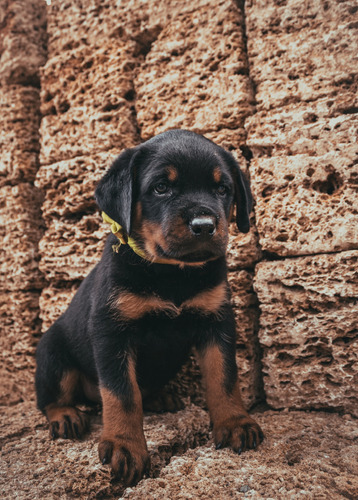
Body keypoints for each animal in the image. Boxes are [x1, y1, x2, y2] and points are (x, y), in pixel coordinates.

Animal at [35, 128, 262, 484]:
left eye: (222, 189)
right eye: (161, 187)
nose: (204, 224)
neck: (171, 272)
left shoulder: (217, 320)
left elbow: (224, 376)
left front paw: (234, 422)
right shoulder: (111, 331)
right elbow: (121, 393)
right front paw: (125, 446)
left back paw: (160, 398)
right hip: (52, 352)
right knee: (52, 396)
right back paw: (65, 416)